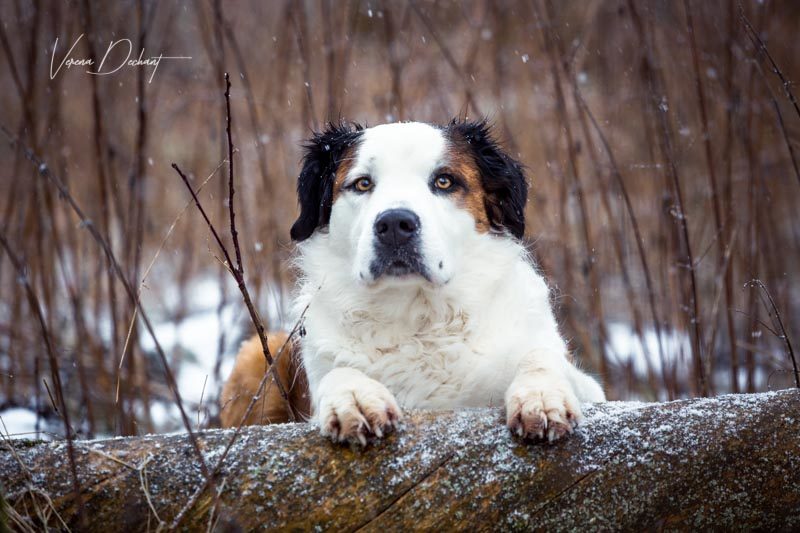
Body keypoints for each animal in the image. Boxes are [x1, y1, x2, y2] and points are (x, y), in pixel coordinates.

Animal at [220, 119, 608, 440]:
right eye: (362, 184)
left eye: (444, 181)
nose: (394, 224)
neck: (418, 314)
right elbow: (338, 373)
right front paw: (355, 398)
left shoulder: (584, 382)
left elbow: (541, 358)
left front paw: (541, 395)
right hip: (256, 355)